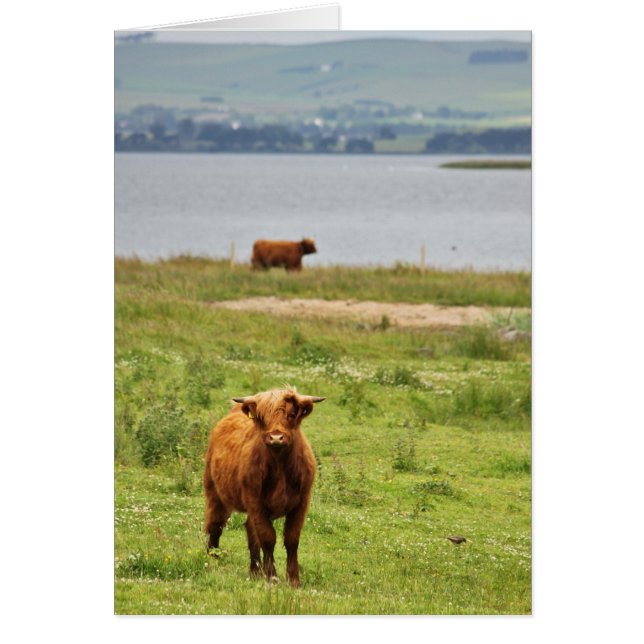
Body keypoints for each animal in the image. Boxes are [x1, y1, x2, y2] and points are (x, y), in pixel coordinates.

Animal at [203, 387, 325, 587]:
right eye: (262, 417)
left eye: (291, 414)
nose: (276, 437)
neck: (280, 465)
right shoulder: (255, 501)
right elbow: (267, 537)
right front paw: (272, 578)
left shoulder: (302, 502)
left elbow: (291, 538)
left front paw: (293, 580)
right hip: (215, 493)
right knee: (215, 525)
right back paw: (212, 560)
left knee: (249, 530)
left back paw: (255, 571)